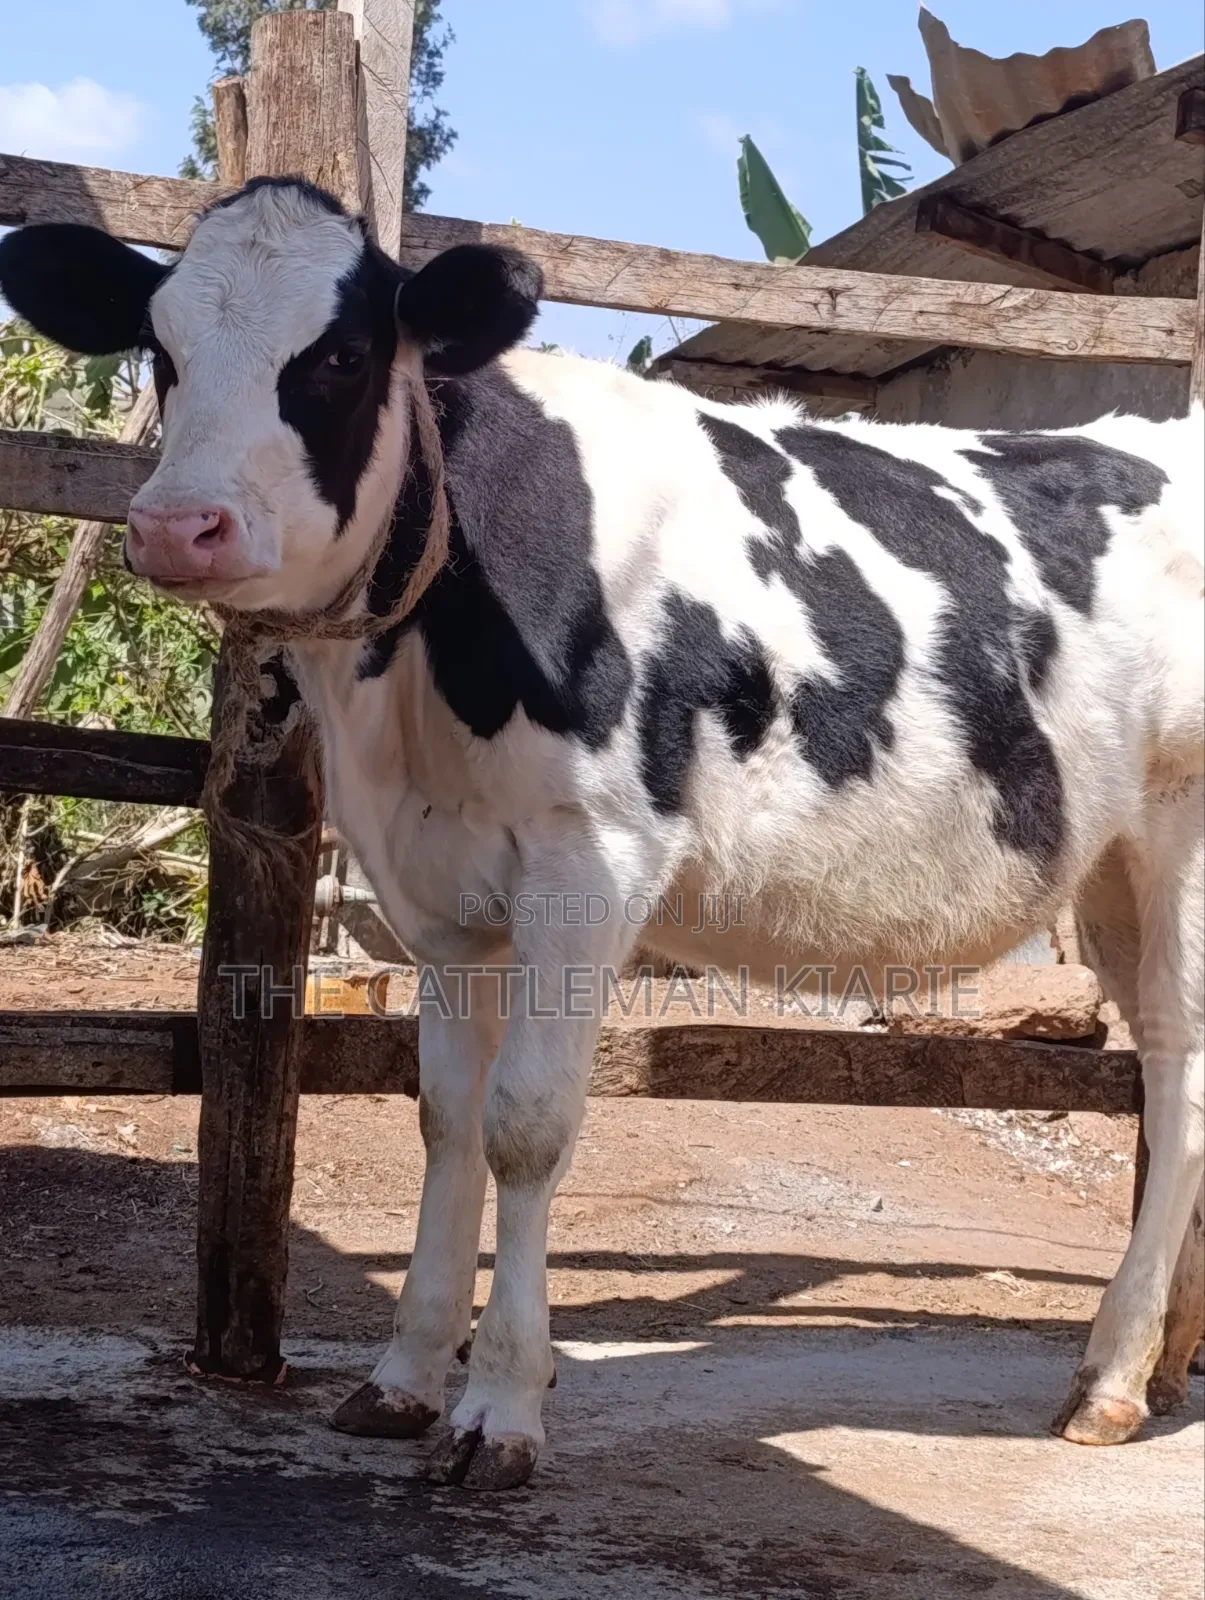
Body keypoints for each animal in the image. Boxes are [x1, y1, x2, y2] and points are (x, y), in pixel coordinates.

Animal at [2, 176, 1201, 1492]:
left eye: (341, 356)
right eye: (160, 350)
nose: (178, 527)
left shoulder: (589, 864)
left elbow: (524, 1126)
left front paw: (498, 1406)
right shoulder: (435, 894)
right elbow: (445, 1118)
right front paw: (403, 1375)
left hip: (1186, 840)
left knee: (1181, 1078)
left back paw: (1108, 1377)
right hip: (1114, 865)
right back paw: (1163, 1361)